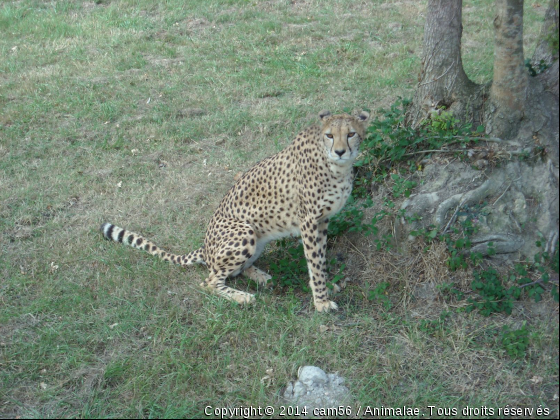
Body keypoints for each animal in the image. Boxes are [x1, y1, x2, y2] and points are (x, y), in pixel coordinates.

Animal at [102, 110, 370, 310]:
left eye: (351, 134)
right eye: (329, 135)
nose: (340, 151)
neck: (336, 166)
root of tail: (205, 247)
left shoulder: (322, 221)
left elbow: (320, 260)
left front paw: (327, 286)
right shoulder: (310, 222)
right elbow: (314, 262)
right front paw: (322, 302)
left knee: (233, 271)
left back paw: (260, 276)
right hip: (244, 231)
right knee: (209, 282)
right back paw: (243, 297)